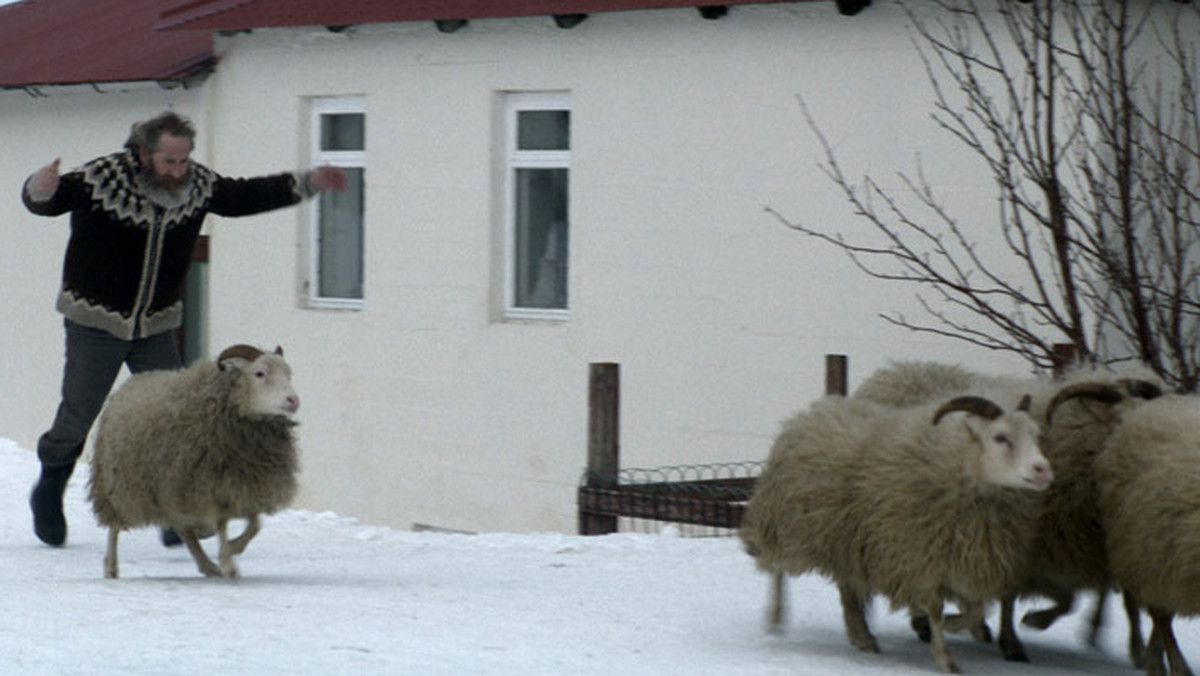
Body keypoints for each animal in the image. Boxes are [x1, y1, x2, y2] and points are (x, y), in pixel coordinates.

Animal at [87, 345, 300, 578]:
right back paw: (111, 567)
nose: (293, 400)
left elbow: (255, 524)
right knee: (114, 526)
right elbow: (223, 523)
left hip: (172, 490)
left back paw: (207, 565)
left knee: (184, 530)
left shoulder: (243, 483)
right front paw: (229, 562)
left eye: (288, 374)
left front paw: (234, 547)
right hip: (116, 482)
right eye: (260, 373)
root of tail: (127, 385)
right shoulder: (209, 484)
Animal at [739, 393, 1051, 672]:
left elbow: (978, 610)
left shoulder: (964, 559)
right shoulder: (918, 556)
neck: (959, 464)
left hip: (844, 537)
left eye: (1035, 435)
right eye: (1000, 437)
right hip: (786, 523)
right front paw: (945, 656)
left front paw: (953, 625)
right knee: (777, 569)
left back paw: (861, 635)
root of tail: (812, 410)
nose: (1043, 469)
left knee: (846, 586)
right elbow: (936, 608)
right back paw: (776, 616)